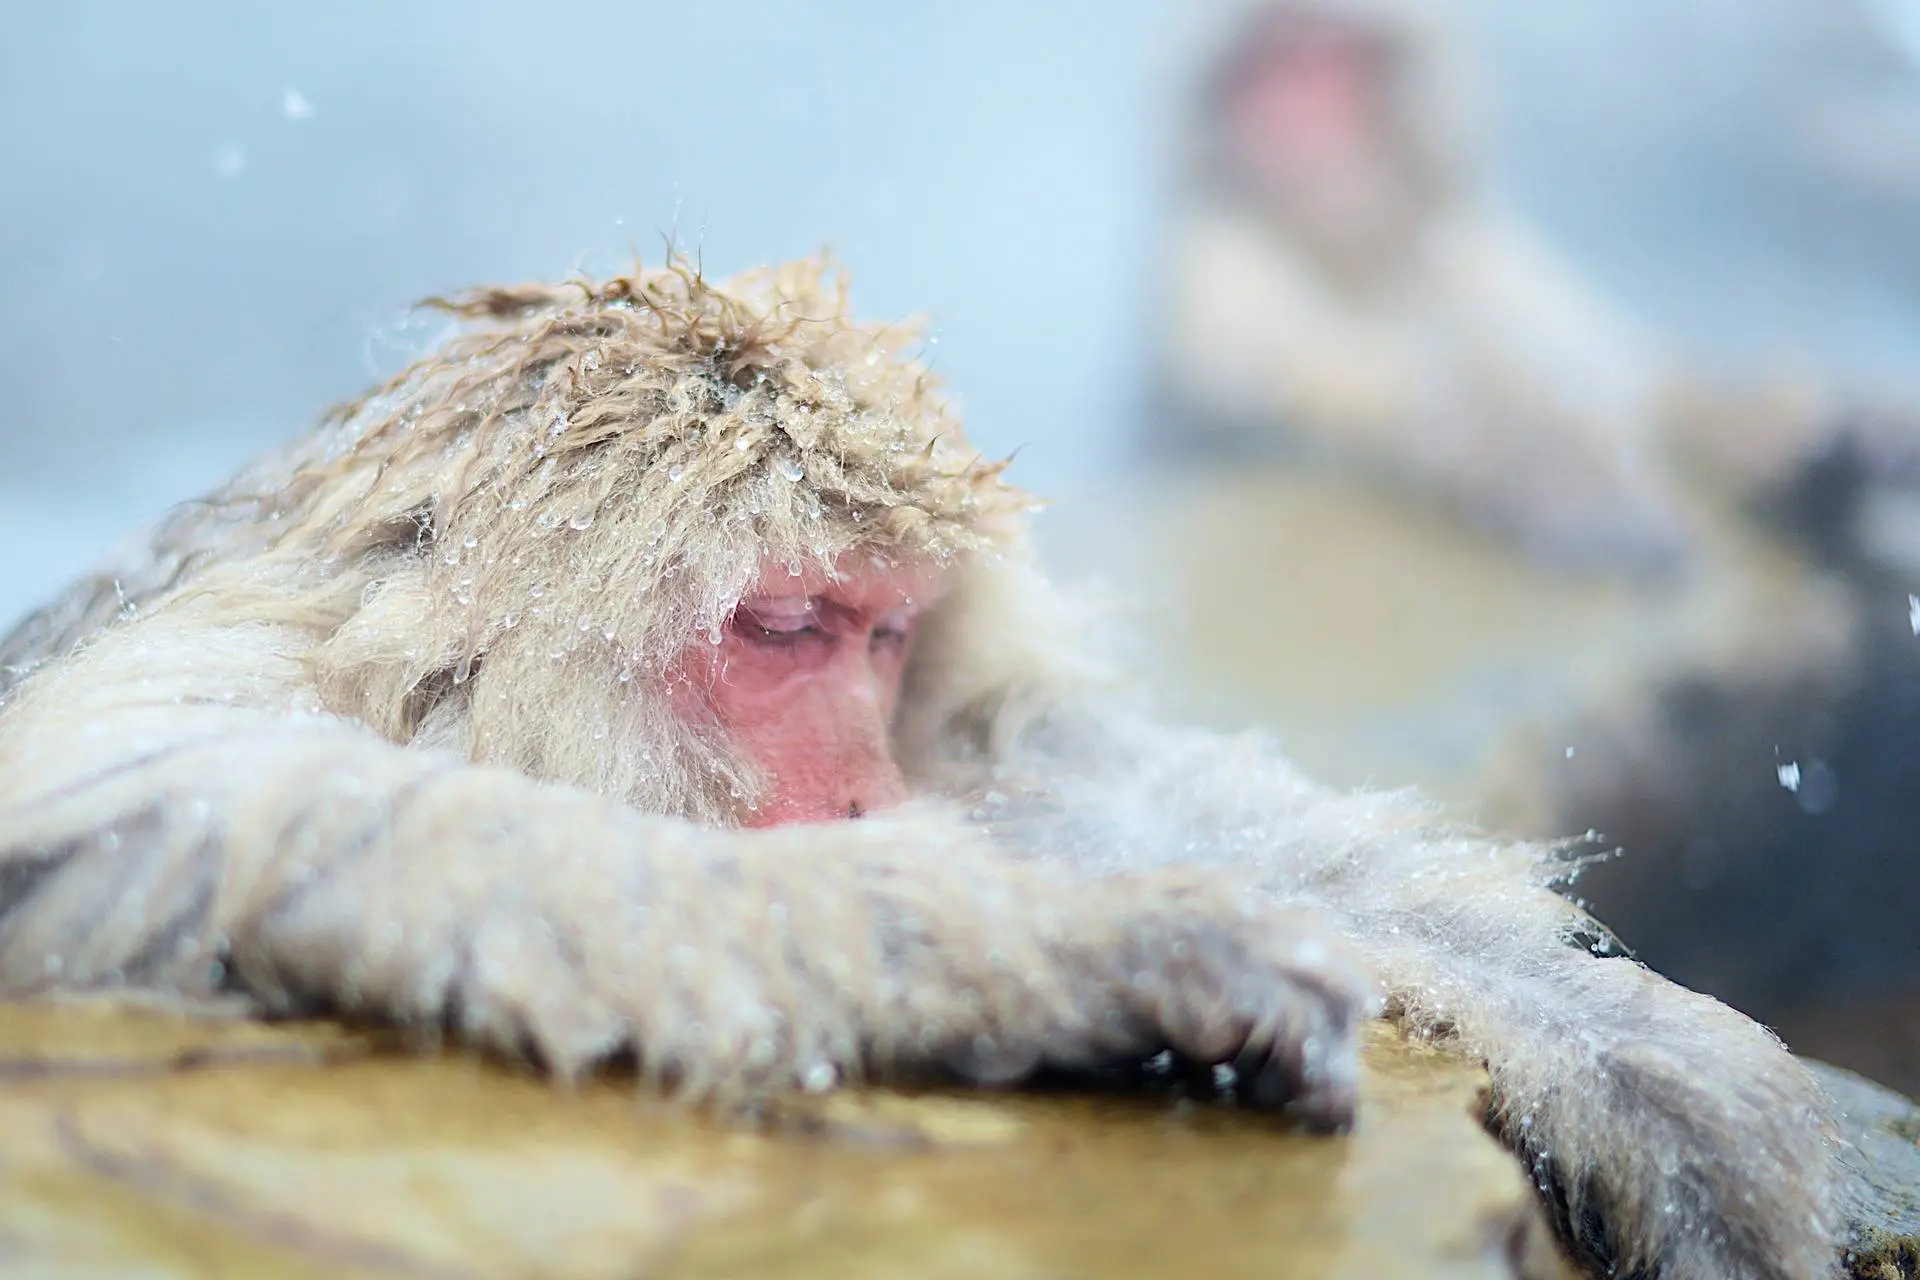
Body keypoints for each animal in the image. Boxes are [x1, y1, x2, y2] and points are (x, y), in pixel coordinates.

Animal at [0, 259, 1841, 1279]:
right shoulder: (235, 668)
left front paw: (1659, 1075)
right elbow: (158, 806)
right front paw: (1118, 961)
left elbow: (1084, 789)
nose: (868, 789)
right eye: (782, 630)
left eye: (885, 638)